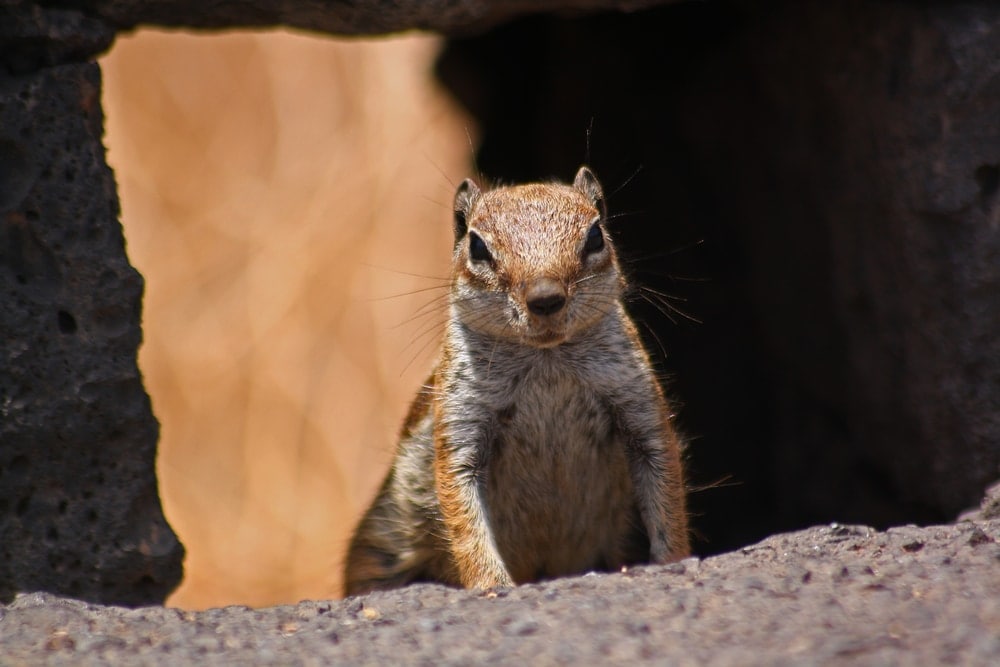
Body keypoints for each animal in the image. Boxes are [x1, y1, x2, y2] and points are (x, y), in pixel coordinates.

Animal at [343, 166, 689, 596]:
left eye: (595, 235)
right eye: (477, 246)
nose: (545, 297)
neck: (547, 359)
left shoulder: (637, 402)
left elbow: (665, 486)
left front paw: (672, 559)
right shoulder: (461, 421)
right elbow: (464, 516)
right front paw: (491, 583)